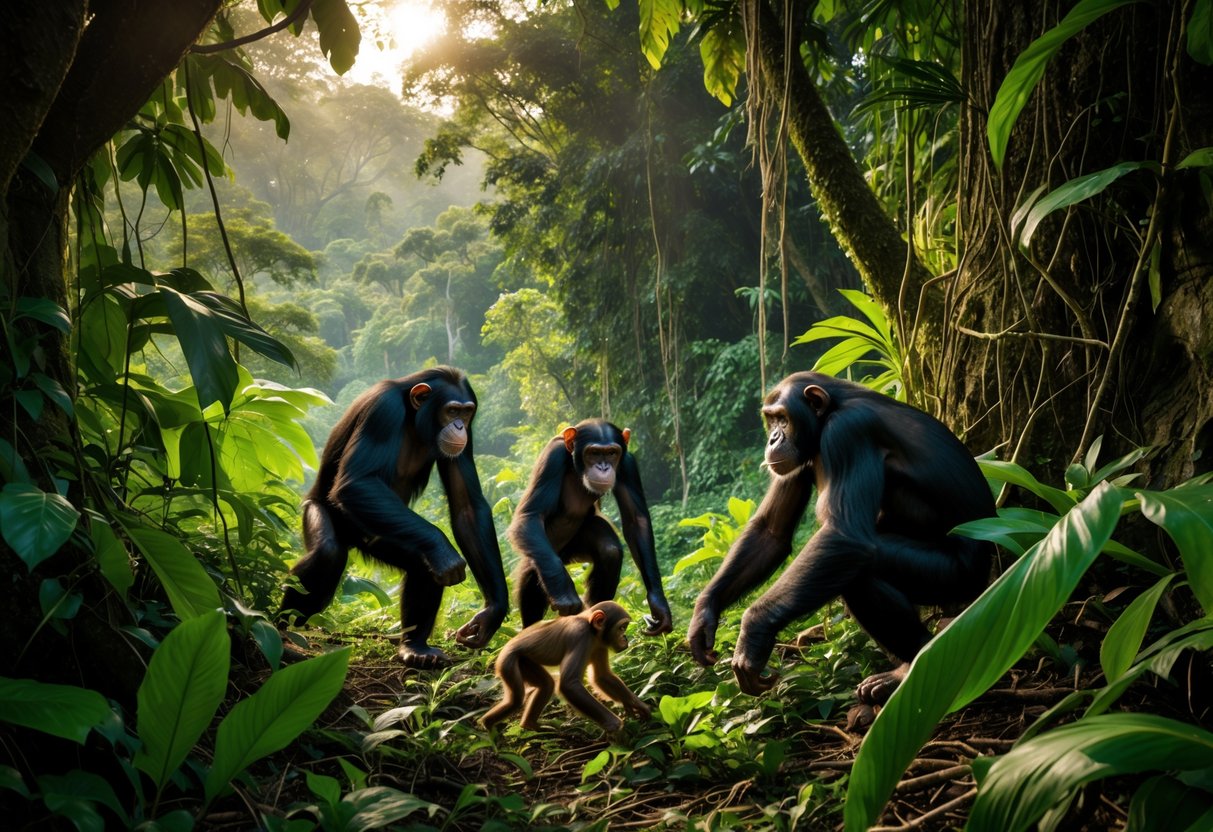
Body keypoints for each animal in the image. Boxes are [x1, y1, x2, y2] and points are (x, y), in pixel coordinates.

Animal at [481, 600, 651, 734]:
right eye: (622, 628)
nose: (625, 637)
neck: (591, 629)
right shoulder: (580, 635)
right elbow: (569, 684)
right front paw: (614, 724)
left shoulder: (600, 645)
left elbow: (602, 676)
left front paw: (636, 705)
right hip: (507, 662)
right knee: (515, 700)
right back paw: (488, 727)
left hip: (524, 661)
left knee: (546, 684)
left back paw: (529, 724)